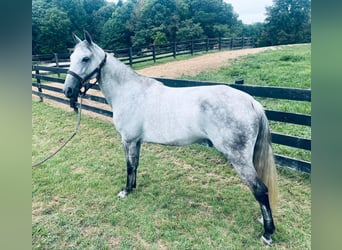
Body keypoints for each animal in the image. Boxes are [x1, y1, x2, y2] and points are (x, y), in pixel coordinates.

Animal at [63, 31, 278, 246]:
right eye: (71, 58)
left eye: (85, 58)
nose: (68, 91)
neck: (129, 92)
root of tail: (251, 102)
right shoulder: (136, 141)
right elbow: (136, 164)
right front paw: (133, 187)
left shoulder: (128, 140)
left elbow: (129, 166)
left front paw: (125, 191)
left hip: (239, 159)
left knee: (260, 190)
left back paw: (267, 233)